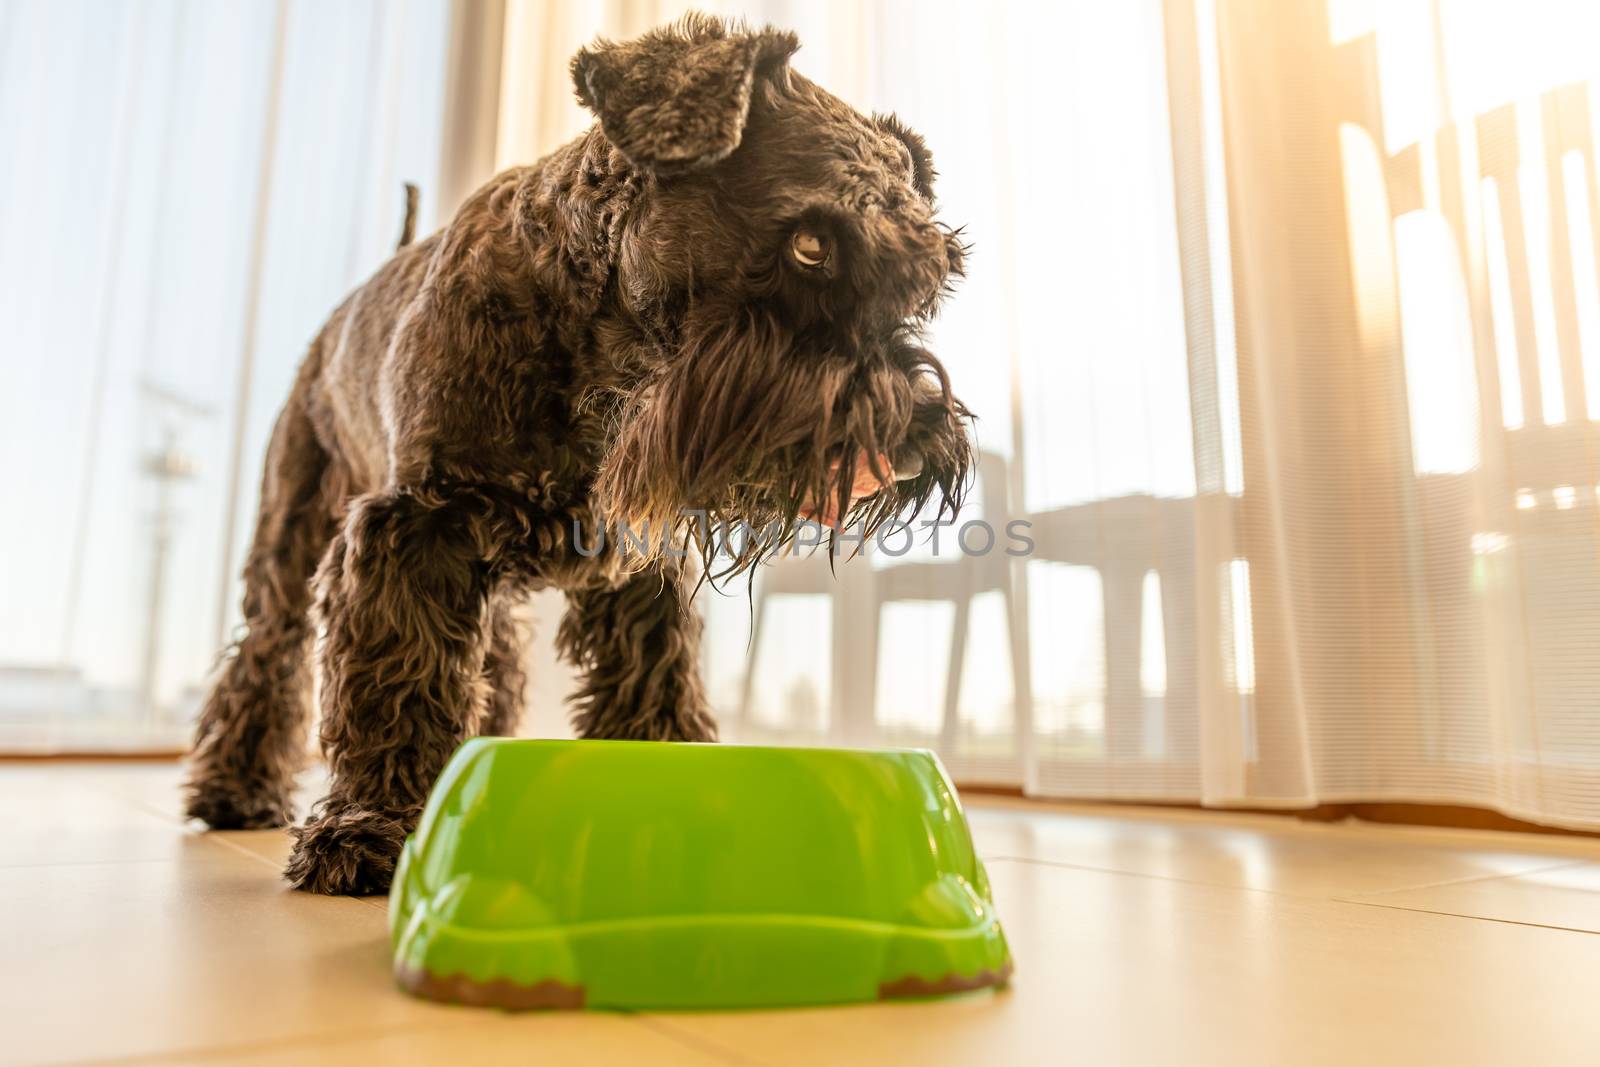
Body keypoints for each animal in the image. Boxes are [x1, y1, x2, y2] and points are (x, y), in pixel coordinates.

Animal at [181, 14, 966, 895]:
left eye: (929, 280)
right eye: (809, 243)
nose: (907, 450)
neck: (595, 344)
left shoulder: (637, 568)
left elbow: (654, 679)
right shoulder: (414, 531)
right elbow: (401, 679)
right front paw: (370, 826)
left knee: (493, 658)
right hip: (291, 534)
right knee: (266, 653)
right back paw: (237, 790)